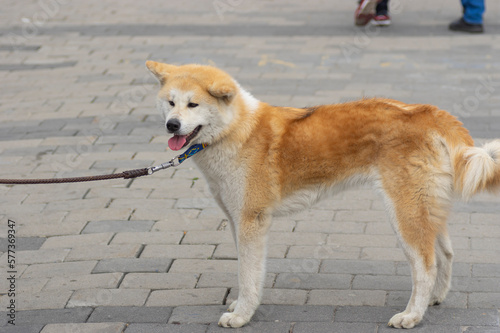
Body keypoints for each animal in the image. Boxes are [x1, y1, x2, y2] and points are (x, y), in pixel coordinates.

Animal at [145, 61, 500, 328]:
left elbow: (248, 275)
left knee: (425, 266)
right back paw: (435, 299)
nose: (171, 125)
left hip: (404, 213)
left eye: (193, 104)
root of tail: (428, 112)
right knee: (446, 255)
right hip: (426, 209)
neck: (237, 132)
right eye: (170, 102)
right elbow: (249, 273)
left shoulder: (251, 221)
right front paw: (242, 306)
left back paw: (412, 315)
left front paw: (242, 315)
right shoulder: (236, 220)